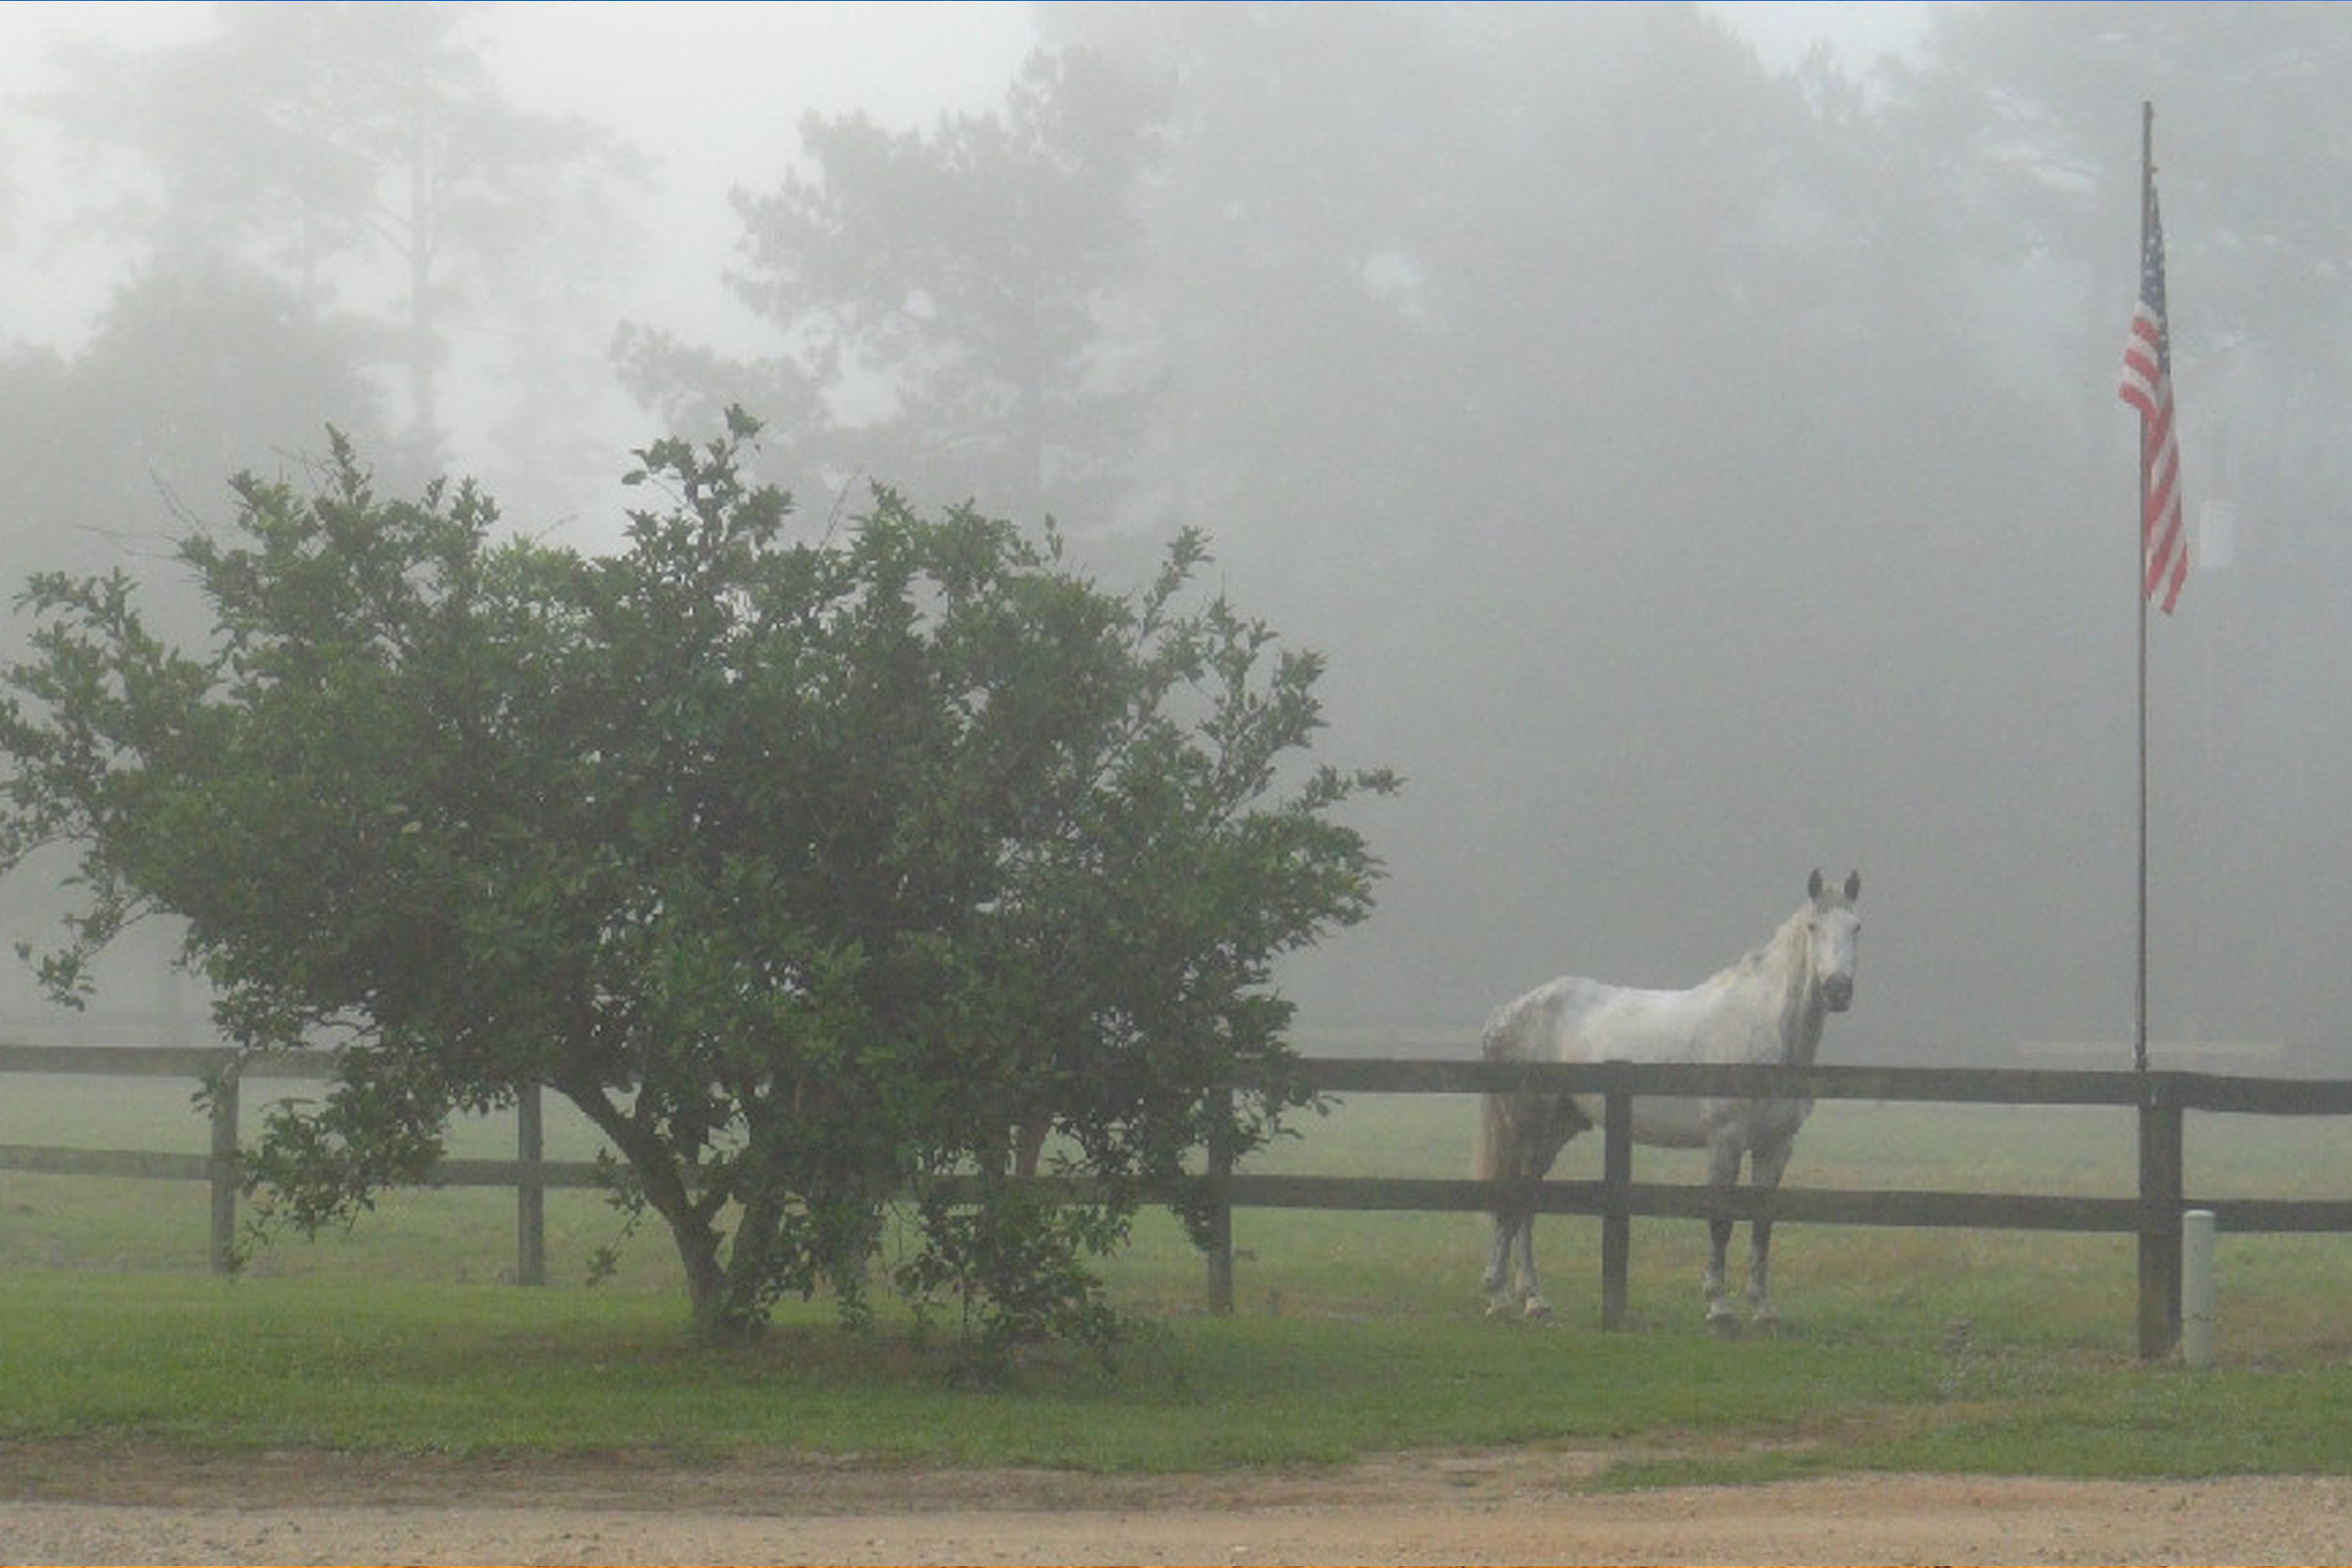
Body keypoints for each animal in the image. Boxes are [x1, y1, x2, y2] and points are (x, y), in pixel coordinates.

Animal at [1476, 869, 1862, 1325]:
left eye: (1857, 927)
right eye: (1814, 927)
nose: (1838, 990)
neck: (1764, 1028)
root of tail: (1506, 1014)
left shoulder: (1776, 1146)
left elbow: (1762, 1224)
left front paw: (1764, 1308)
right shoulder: (1725, 1142)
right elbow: (1720, 1221)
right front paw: (1719, 1307)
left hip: (1555, 1131)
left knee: (1527, 1205)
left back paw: (1533, 1299)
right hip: (1526, 1125)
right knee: (1511, 1201)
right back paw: (1499, 1296)